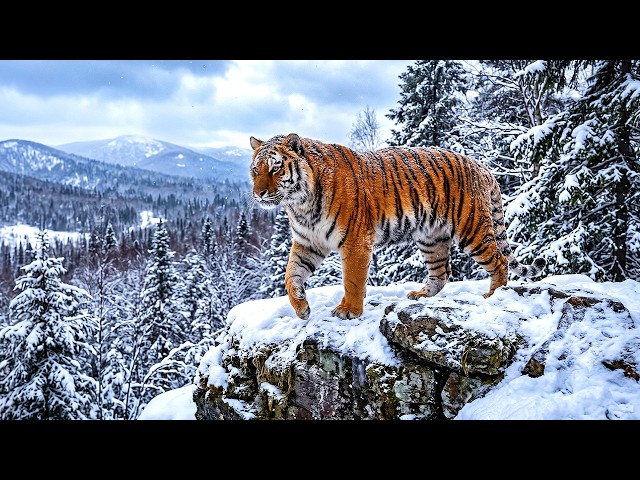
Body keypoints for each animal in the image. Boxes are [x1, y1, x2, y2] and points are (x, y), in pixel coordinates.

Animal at [250, 133, 546, 320]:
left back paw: (493, 295)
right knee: (442, 272)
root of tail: (482, 167)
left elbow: (352, 280)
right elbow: (291, 276)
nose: (258, 193)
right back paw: (421, 295)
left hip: (472, 228)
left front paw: (349, 310)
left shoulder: (355, 241)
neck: (300, 204)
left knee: (499, 261)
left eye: (275, 169)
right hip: (431, 238)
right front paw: (301, 307)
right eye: (255, 170)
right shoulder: (308, 242)